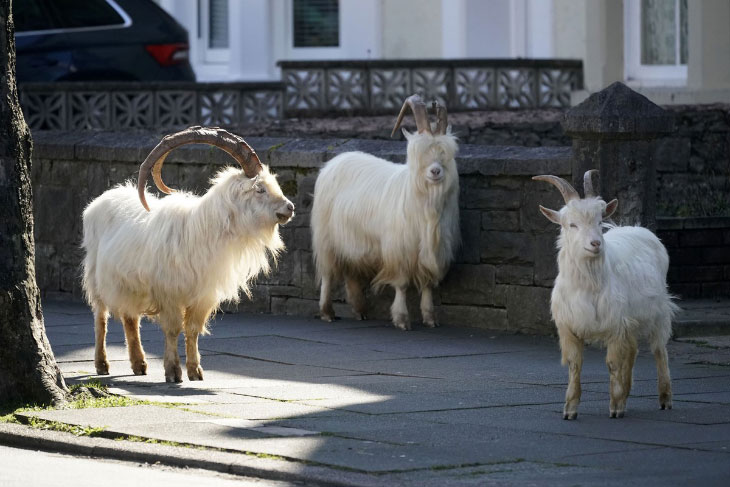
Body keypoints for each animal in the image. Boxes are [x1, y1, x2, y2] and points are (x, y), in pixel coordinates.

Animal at [82, 127, 292, 386]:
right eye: (260, 189)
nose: (290, 208)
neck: (204, 230)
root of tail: (101, 200)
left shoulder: (202, 296)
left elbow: (192, 329)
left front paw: (195, 371)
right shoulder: (169, 293)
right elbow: (173, 329)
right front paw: (173, 372)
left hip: (129, 285)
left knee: (130, 318)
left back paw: (139, 364)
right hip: (96, 277)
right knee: (100, 318)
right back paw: (102, 364)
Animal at [310, 94, 458, 332]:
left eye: (447, 153)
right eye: (419, 152)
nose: (436, 171)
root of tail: (334, 162)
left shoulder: (431, 250)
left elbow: (427, 284)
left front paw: (430, 318)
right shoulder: (398, 249)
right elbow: (402, 284)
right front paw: (402, 319)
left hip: (352, 242)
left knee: (351, 273)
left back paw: (360, 310)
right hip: (327, 238)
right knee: (328, 273)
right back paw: (327, 312)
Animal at [528, 172, 676, 420]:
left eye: (599, 221)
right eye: (572, 224)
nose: (595, 243)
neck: (588, 286)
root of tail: (639, 229)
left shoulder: (615, 325)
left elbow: (613, 364)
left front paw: (615, 407)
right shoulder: (569, 327)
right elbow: (575, 365)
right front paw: (570, 408)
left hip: (658, 311)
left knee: (659, 350)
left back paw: (664, 398)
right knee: (633, 349)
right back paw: (626, 394)